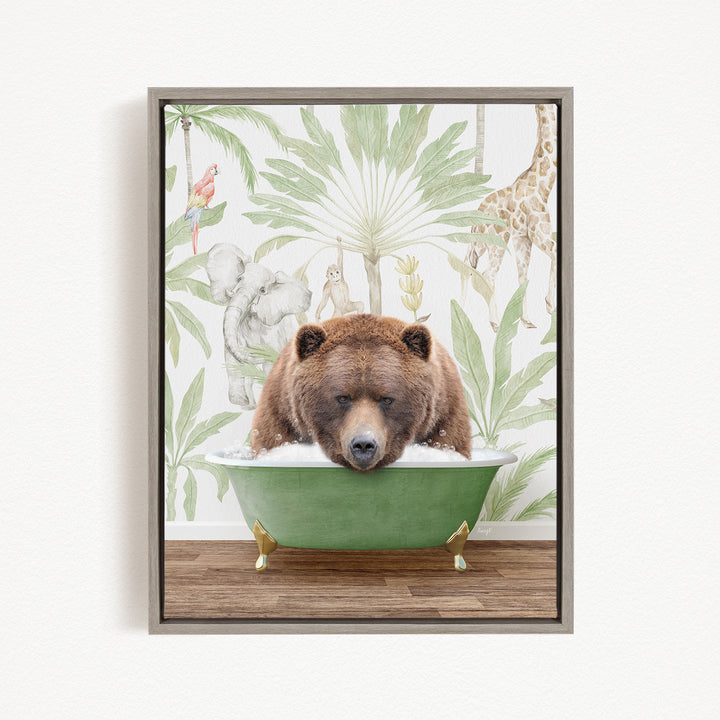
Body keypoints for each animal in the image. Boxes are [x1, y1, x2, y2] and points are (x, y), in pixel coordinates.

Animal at [205, 243, 312, 410]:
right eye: (239, 278)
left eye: (262, 290)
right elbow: (233, 362)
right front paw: (241, 402)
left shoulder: (273, 336)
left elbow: (270, 365)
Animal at [463, 104, 557, 331]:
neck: (544, 185)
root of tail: (476, 224)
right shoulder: (539, 232)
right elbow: (555, 253)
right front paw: (550, 305)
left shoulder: (522, 238)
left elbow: (523, 277)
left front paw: (527, 320)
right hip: (497, 243)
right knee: (488, 274)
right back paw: (495, 323)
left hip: (480, 244)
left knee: (466, 267)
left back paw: (460, 309)